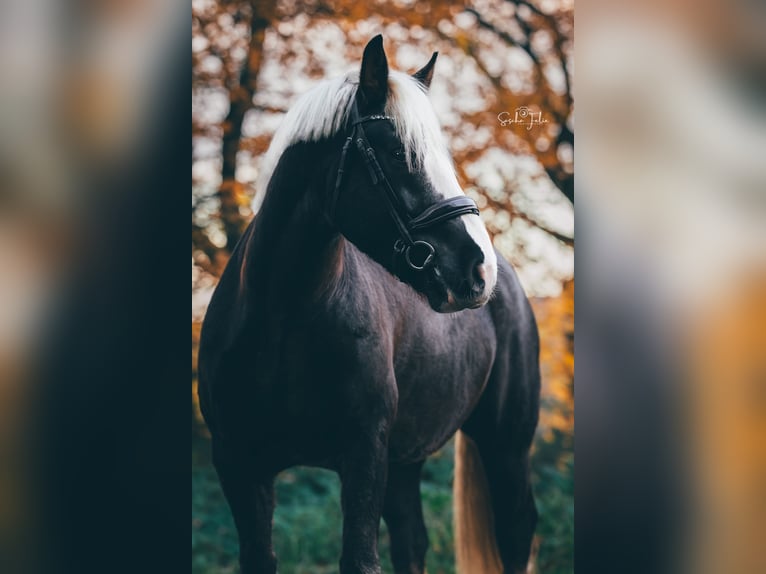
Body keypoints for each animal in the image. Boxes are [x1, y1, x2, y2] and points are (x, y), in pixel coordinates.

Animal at [197, 35, 541, 574]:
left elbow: (359, 558)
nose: (478, 269)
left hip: (505, 444)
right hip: (408, 458)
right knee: (412, 539)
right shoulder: (238, 464)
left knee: (516, 530)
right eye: (398, 153)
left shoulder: (364, 457)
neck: (282, 322)